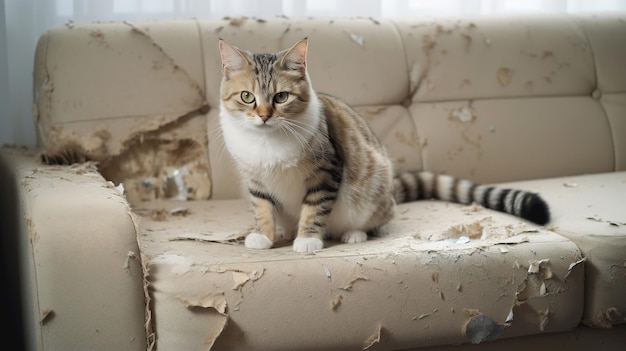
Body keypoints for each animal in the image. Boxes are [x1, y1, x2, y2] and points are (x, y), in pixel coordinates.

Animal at [217, 37, 548, 253]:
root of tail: (391, 190)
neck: (267, 141)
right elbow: (262, 207)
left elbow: (314, 207)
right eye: (247, 96)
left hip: (371, 189)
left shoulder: (326, 171)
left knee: (374, 219)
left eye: (281, 97)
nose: (263, 116)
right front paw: (263, 235)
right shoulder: (255, 178)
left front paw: (308, 239)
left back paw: (354, 234)